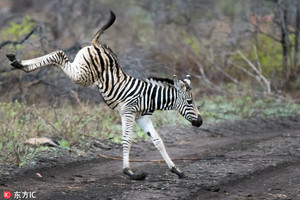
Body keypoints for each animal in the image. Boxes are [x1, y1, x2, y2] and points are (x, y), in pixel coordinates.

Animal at [7, 10, 203, 180]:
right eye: (190, 101)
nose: (200, 122)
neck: (151, 97)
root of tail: (97, 44)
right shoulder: (128, 113)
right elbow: (127, 140)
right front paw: (129, 172)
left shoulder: (143, 118)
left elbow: (158, 141)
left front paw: (176, 170)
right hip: (83, 75)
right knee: (59, 54)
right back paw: (19, 63)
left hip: (81, 70)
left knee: (58, 55)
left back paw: (17, 62)